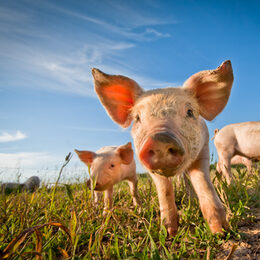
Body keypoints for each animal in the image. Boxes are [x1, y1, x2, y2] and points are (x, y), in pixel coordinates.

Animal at [92, 60, 234, 236]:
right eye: (137, 118)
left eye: (189, 111)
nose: (159, 139)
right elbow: (164, 190)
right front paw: (169, 232)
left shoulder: (203, 150)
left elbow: (203, 182)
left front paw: (221, 231)